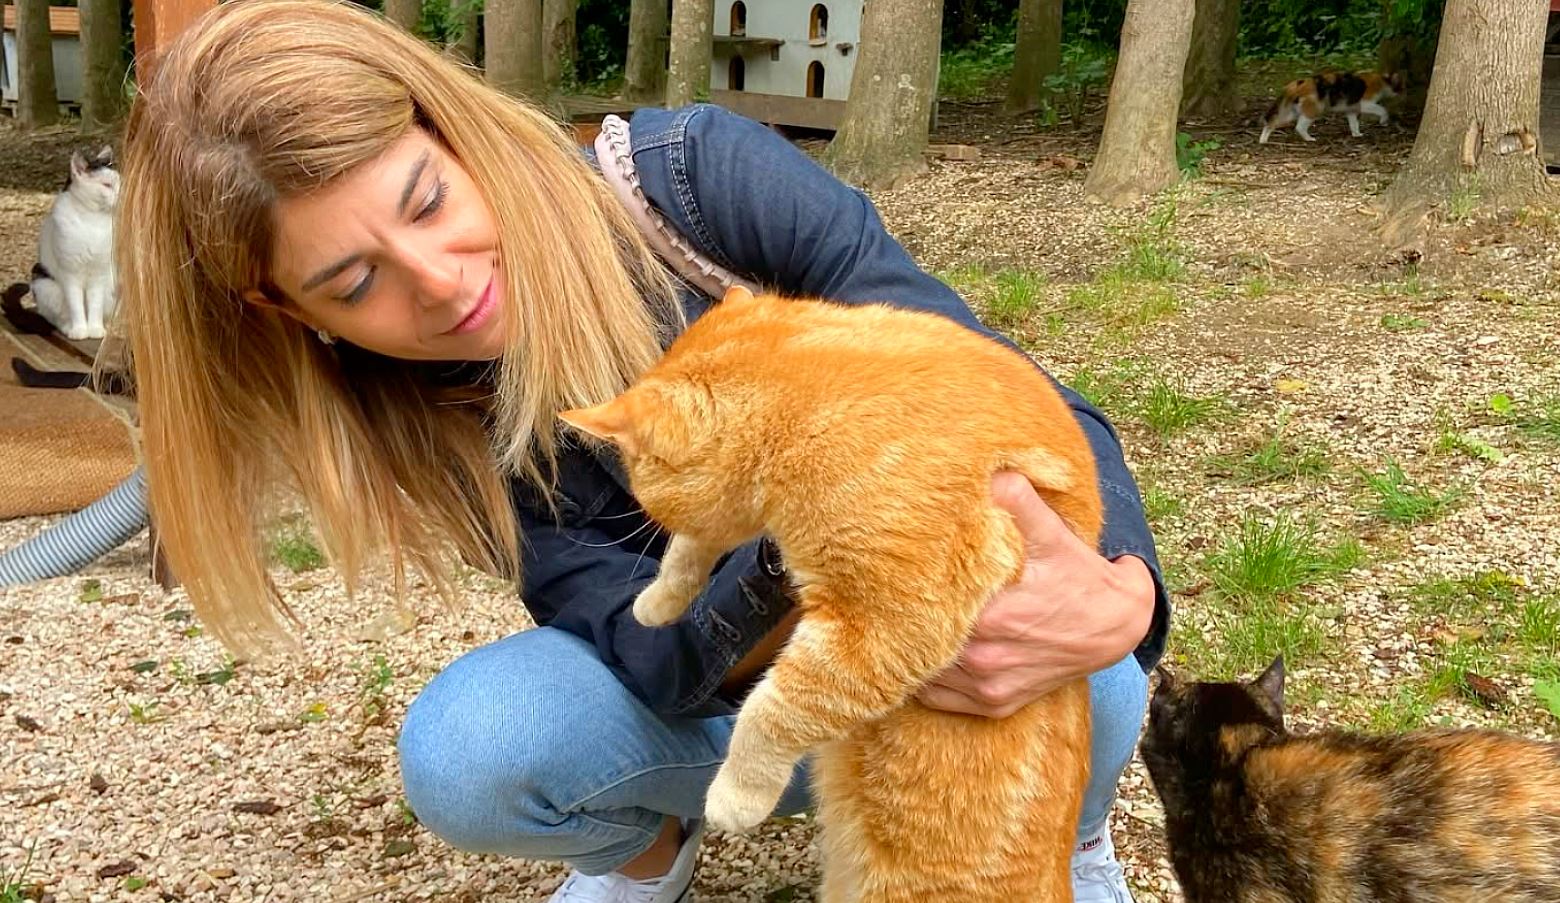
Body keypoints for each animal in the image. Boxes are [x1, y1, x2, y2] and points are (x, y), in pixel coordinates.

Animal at [31, 146, 120, 340]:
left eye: (120, 184)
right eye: (106, 185)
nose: (121, 194)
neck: (92, 220)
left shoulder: (98, 274)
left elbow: (95, 306)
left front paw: (95, 329)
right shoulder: (70, 274)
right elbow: (76, 306)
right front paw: (80, 329)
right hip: (44, 284)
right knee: (58, 318)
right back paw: (68, 328)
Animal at [560, 285, 1100, 903]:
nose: (642, 508)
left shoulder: (887, 626)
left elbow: (772, 709)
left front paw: (735, 795)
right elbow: (691, 550)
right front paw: (658, 600)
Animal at [1260, 71, 1404, 144]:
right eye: (1400, 86)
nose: (1402, 92)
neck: (1382, 80)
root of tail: (1298, 83)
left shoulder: (1351, 109)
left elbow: (1353, 122)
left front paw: (1356, 134)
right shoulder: (1365, 103)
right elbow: (1382, 109)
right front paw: (1383, 121)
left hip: (1292, 111)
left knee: (1272, 123)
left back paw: (1263, 140)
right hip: (1314, 107)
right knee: (1299, 126)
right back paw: (1309, 138)